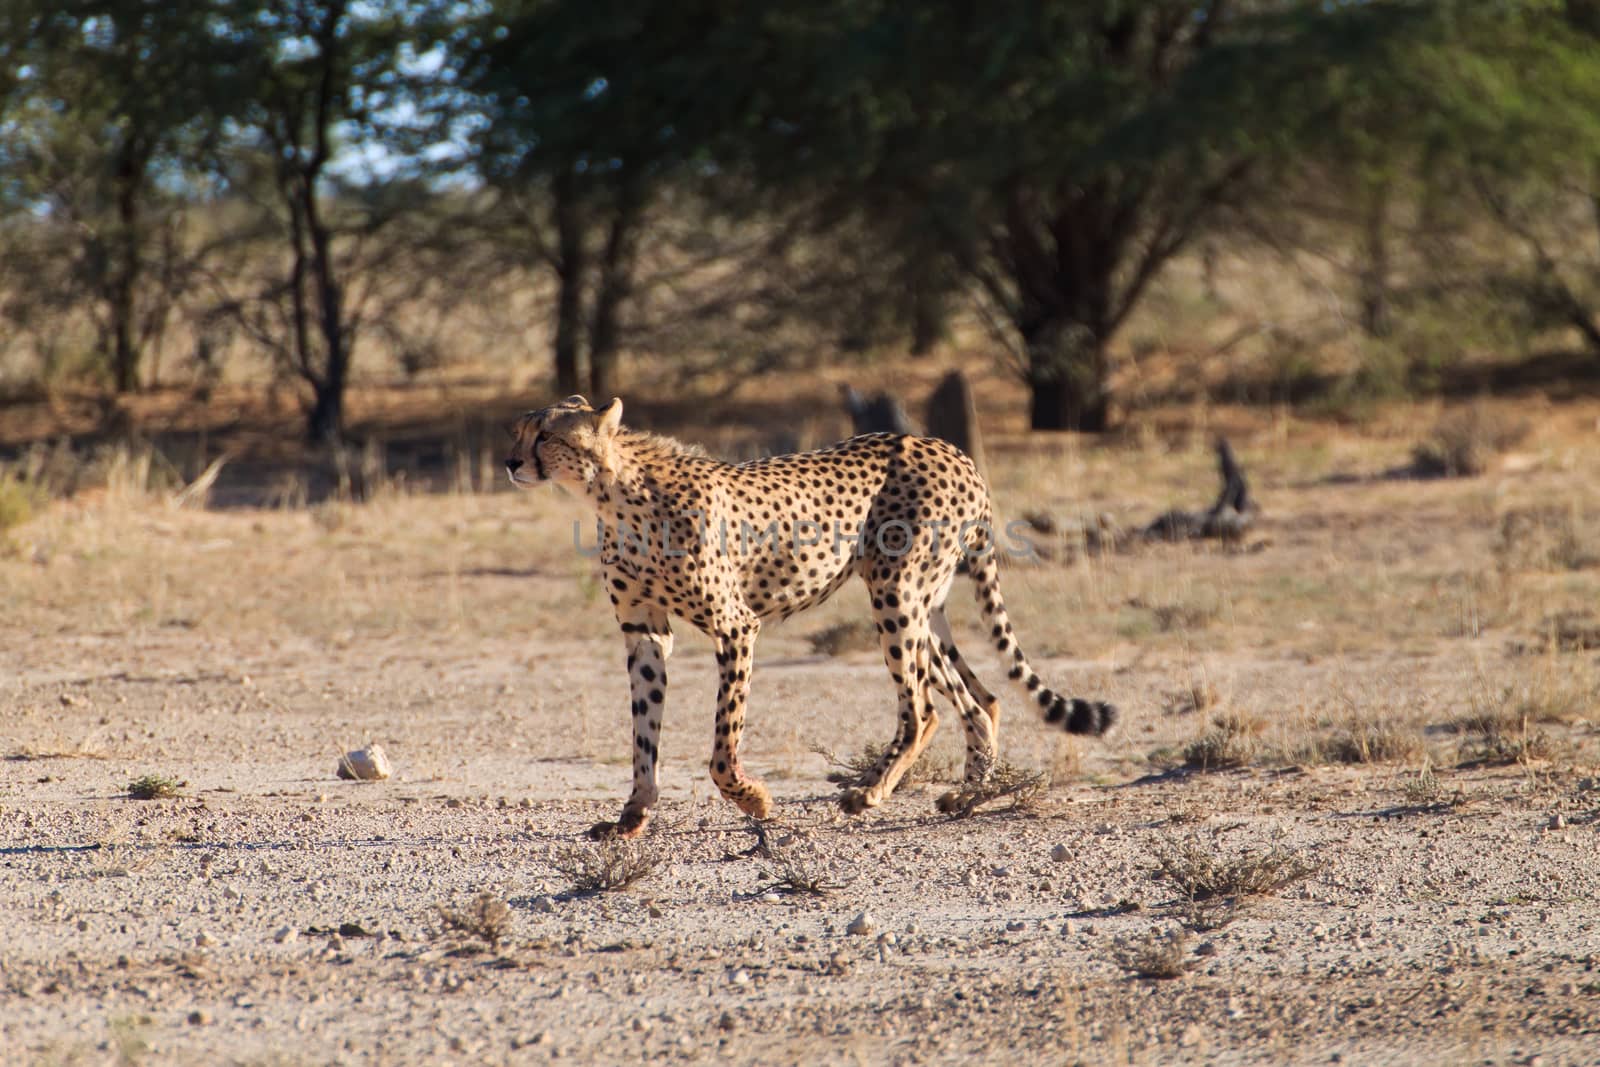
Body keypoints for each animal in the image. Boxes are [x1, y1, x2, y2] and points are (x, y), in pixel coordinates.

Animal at [502, 396, 1113, 838]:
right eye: (518, 431)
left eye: (547, 435)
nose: (510, 462)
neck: (614, 493)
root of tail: (947, 446)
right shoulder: (644, 632)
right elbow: (643, 734)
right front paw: (632, 816)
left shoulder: (736, 626)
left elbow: (722, 747)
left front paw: (755, 799)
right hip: (921, 603)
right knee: (979, 699)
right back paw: (967, 796)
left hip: (896, 592)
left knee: (922, 707)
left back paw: (869, 793)